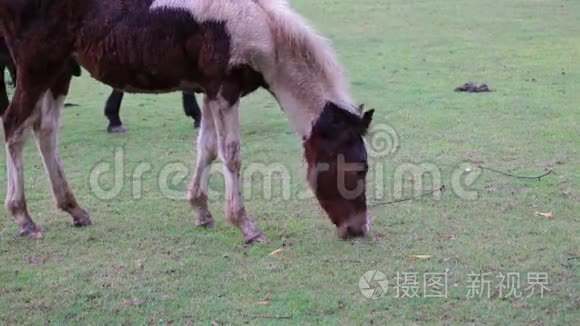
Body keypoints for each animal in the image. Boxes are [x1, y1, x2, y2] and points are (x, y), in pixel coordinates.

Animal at [0, 0, 374, 242]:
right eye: (360, 168)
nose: (357, 229)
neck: (259, 25)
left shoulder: (208, 92)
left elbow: (206, 148)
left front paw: (201, 211)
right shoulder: (224, 91)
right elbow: (231, 153)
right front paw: (246, 225)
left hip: (60, 72)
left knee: (45, 132)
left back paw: (74, 209)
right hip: (36, 68)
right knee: (14, 127)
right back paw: (24, 219)